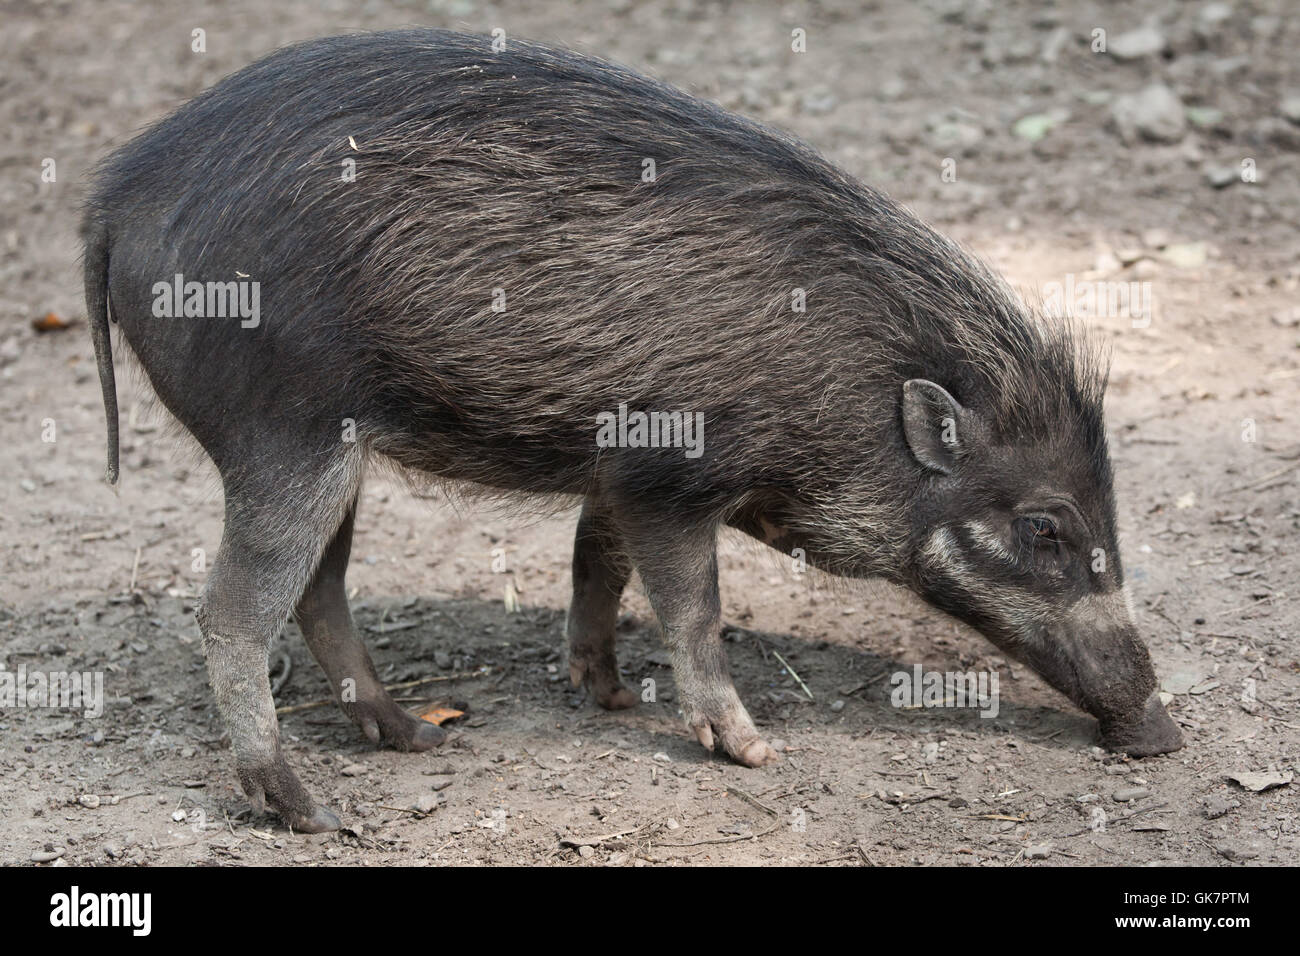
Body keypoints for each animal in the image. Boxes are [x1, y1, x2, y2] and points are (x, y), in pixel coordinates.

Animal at [83, 29, 1183, 832]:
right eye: (1044, 527)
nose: (1162, 733)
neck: (843, 390)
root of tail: (114, 193)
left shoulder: (614, 473)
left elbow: (594, 566)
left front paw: (603, 694)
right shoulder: (671, 474)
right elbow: (691, 608)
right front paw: (752, 750)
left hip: (335, 453)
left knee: (318, 591)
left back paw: (421, 738)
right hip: (287, 435)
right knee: (233, 612)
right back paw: (313, 812)